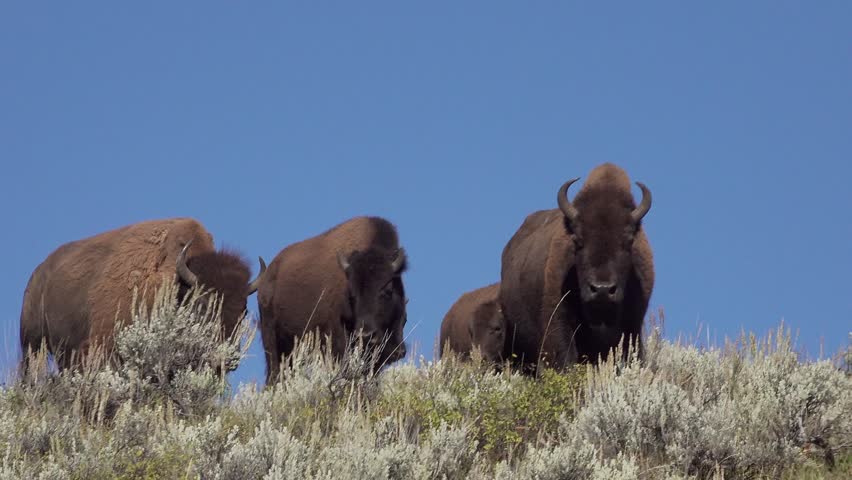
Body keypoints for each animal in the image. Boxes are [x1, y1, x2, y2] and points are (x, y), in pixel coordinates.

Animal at [19, 218, 265, 372]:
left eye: (243, 312)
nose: (225, 359)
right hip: (31, 344)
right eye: (203, 306)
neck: (176, 283)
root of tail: (39, 272)